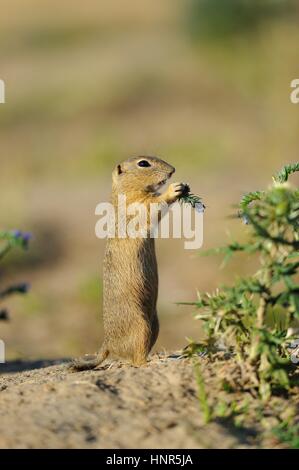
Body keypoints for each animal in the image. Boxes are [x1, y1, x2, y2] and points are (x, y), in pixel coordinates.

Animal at [71, 156, 188, 370]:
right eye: (143, 163)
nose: (173, 170)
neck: (124, 191)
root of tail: (107, 344)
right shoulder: (138, 205)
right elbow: (153, 206)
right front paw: (174, 188)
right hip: (140, 326)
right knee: (136, 359)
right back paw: (153, 363)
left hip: (154, 324)